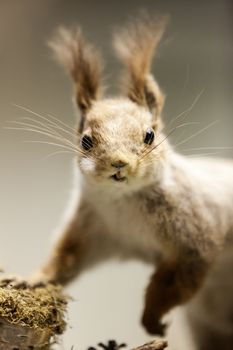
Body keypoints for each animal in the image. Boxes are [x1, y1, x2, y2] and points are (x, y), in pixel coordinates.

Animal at [30, 15, 233, 340]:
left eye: (149, 135)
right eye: (85, 141)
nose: (119, 164)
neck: (124, 201)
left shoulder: (195, 234)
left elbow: (174, 283)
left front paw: (152, 319)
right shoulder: (93, 228)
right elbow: (65, 258)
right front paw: (33, 278)